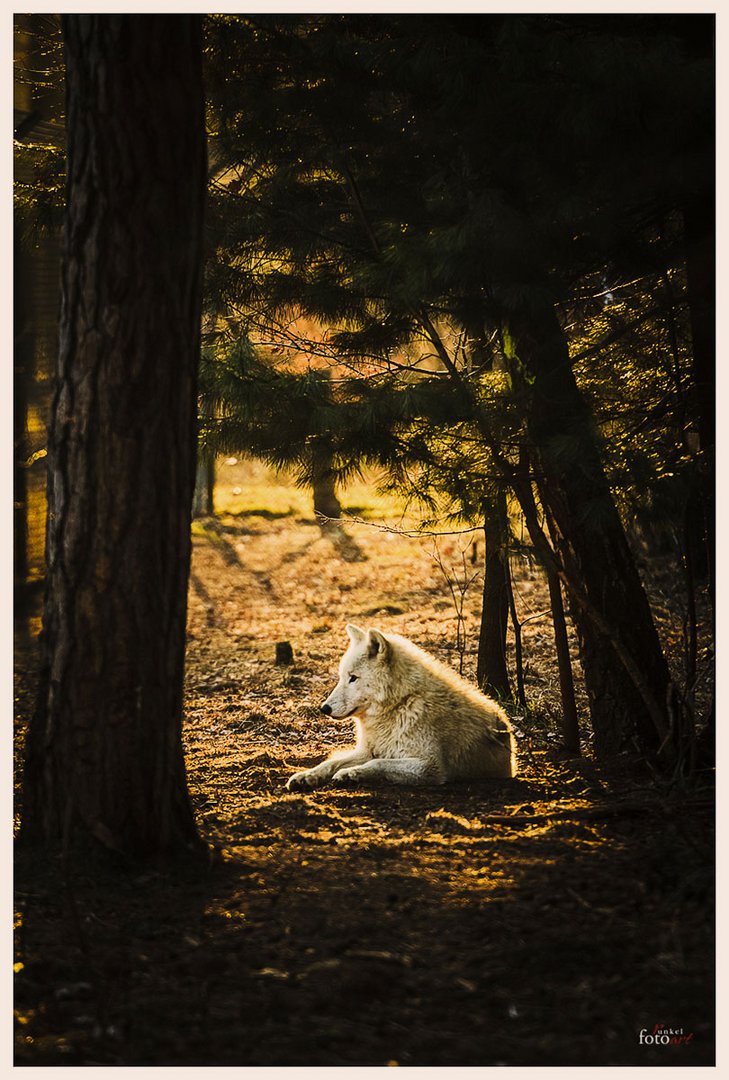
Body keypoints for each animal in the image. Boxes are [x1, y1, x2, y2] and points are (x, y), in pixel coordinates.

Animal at [282, 622, 514, 790]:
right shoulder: (368, 751)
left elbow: (377, 763)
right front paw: (306, 776)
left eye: (353, 678)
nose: (324, 708)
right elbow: (329, 763)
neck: (400, 704)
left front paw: (351, 774)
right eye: (342, 677)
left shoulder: (429, 766)